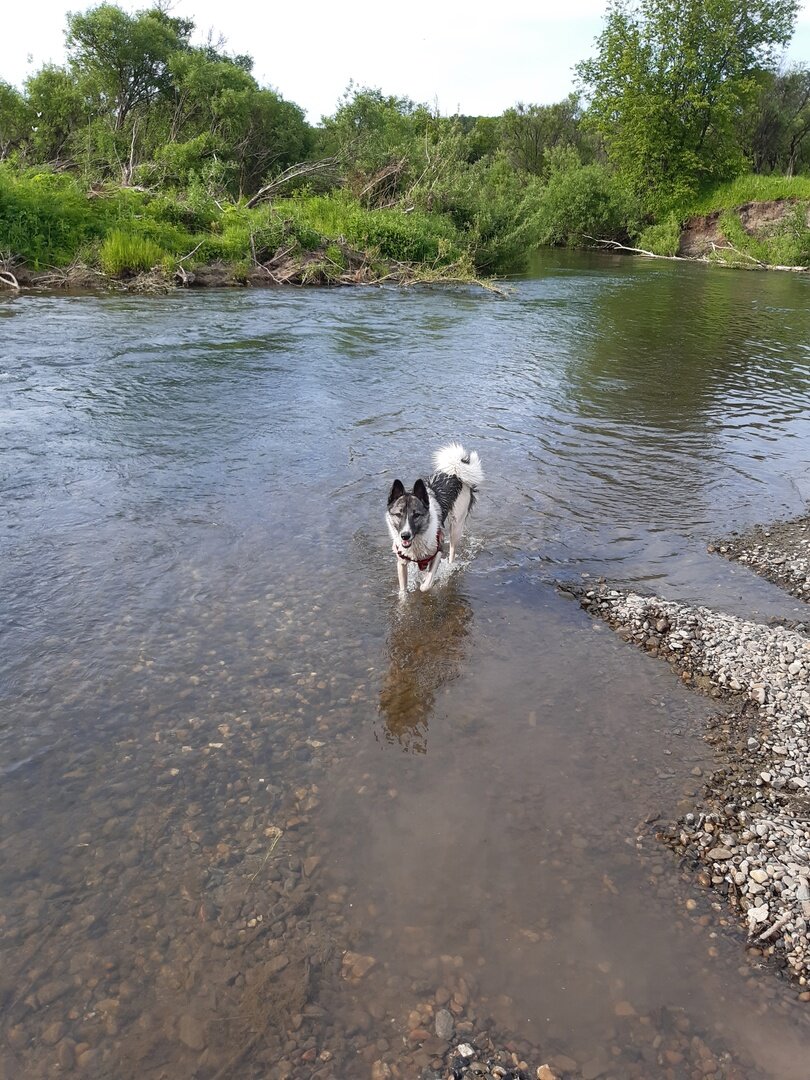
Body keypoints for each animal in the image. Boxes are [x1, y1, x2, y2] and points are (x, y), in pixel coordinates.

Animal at [384, 440, 481, 600]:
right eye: (398, 514)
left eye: (416, 515)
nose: (405, 536)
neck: (418, 538)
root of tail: (455, 472)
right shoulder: (402, 562)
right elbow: (403, 591)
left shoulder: (438, 552)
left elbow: (426, 585)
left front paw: (427, 583)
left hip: (456, 526)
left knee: (452, 552)